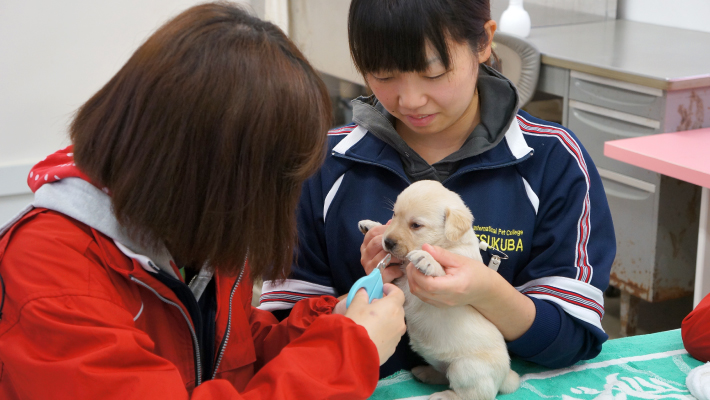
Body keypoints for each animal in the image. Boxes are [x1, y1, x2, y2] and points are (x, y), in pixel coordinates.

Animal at [362, 180, 516, 400]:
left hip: (465, 368)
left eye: (416, 225)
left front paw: (427, 259)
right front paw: (372, 226)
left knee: (475, 394)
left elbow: (440, 268)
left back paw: (444, 395)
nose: (388, 242)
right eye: (394, 215)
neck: (447, 243)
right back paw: (426, 373)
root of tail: (505, 376)